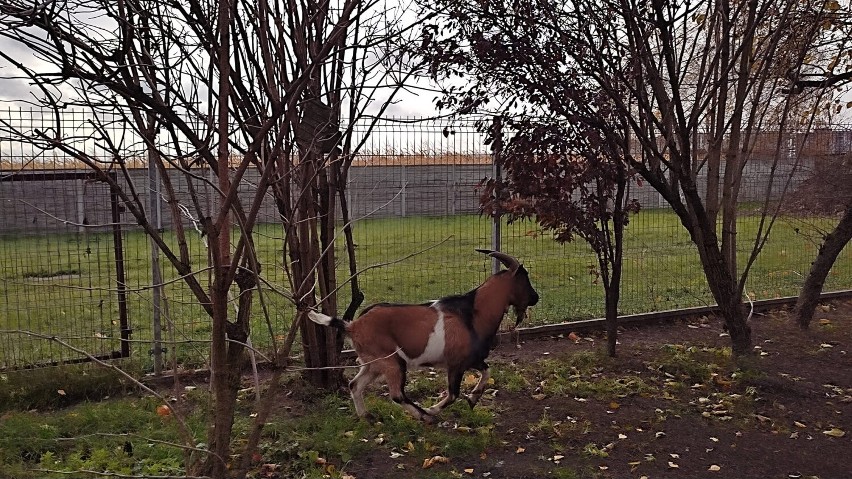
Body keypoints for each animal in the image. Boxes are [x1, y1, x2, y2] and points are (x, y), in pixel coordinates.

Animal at [306, 249, 540, 422]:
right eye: (525, 278)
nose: (536, 297)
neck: (474, 312)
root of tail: (354, 325)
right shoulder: (456, 364)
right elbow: (453, 394)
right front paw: (434, 409)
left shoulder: (470, 359)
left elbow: (487, 371)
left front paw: (473, 398)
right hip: (392, 361)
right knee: (397, 394)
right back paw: (424, 416)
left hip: (373, 363)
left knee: (355, 385)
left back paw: (367, 416)